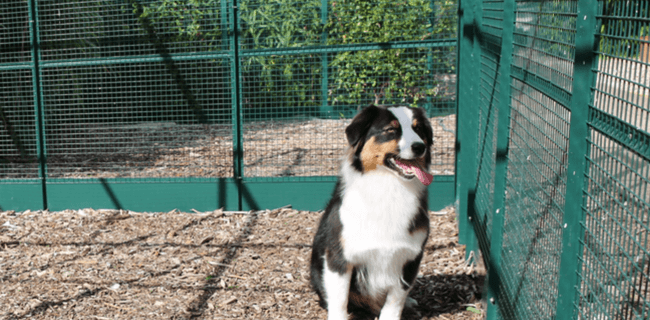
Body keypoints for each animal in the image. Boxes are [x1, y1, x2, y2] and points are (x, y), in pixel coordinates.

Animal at [310, 104, 432, 318]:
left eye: (418, 129)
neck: (389, 187)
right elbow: (339, 299)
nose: (419, 147)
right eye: (391, 130)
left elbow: (395, 300)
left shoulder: (410, 257)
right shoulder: (339, 256)